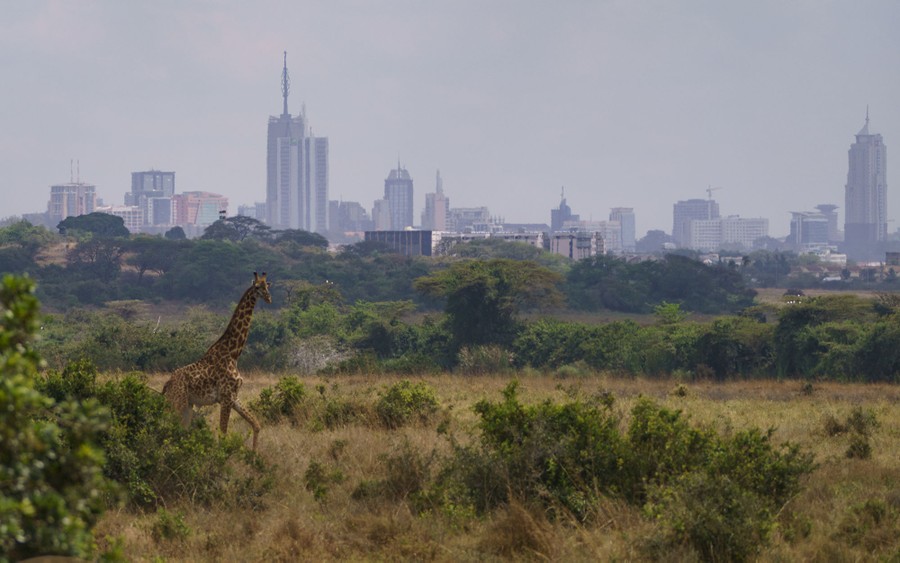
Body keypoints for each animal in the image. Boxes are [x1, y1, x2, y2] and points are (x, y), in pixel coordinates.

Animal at [163, 270, 270, 452]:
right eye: (257, 287)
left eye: (267, 286)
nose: (269, 298)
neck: (234, 353)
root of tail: (168, 383)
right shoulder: (226, 398)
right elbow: (223, 434)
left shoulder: (233, 396)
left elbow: (256, 424)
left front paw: (254, 454)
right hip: (177, 402)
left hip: (187, 406)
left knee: (180, 430)